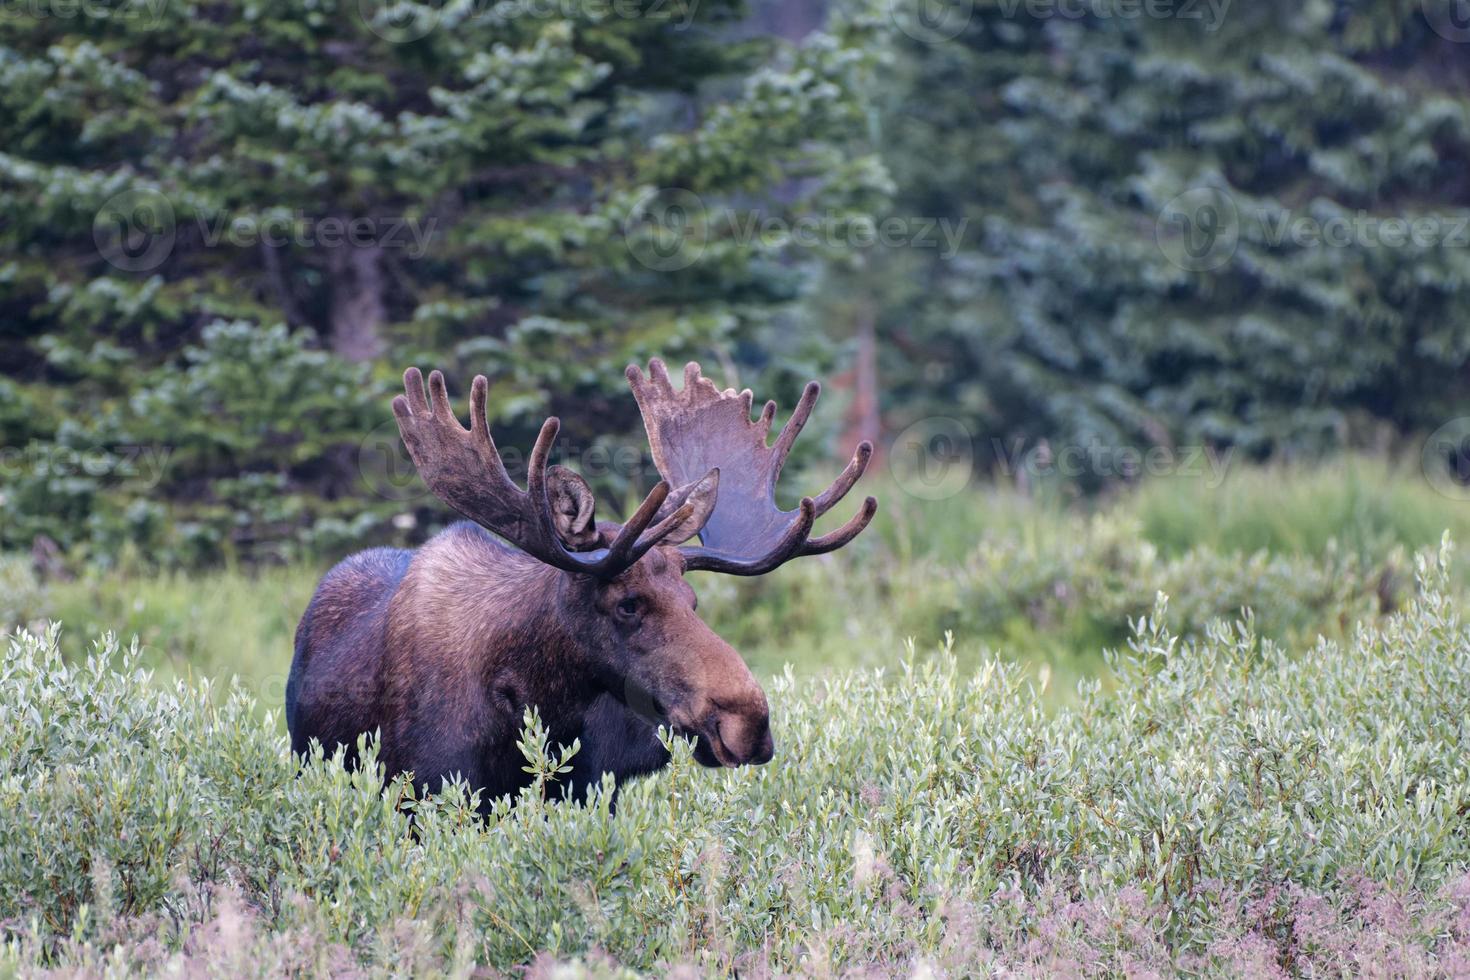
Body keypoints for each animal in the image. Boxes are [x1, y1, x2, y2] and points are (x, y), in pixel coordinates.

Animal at [289, 359, 870, 805]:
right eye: (628, 604)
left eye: (693, 601)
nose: (749, 722)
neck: (534, 698)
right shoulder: (426, 794)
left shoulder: (586, 792)